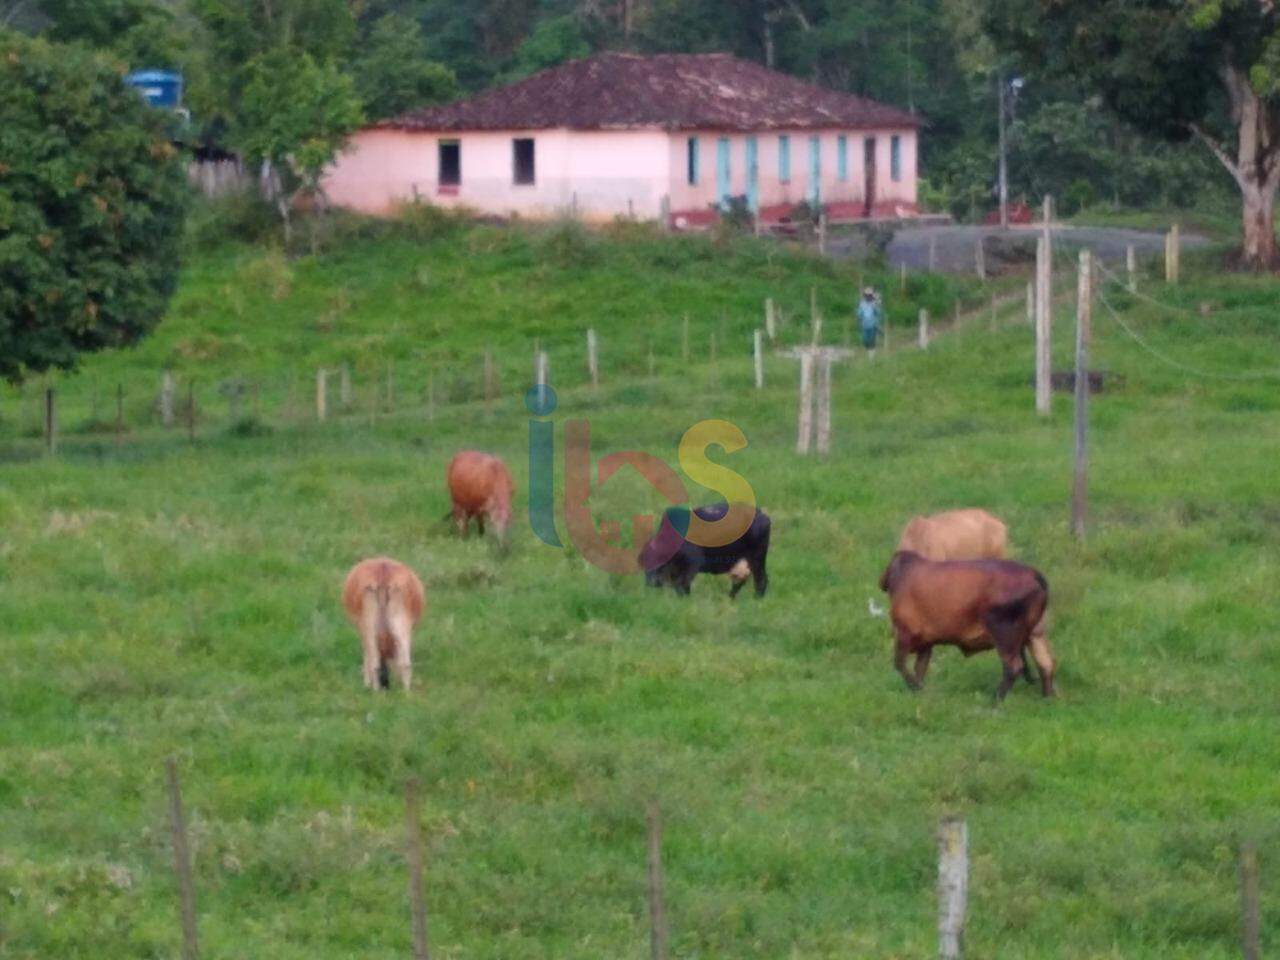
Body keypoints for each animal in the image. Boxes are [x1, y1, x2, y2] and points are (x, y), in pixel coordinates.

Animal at [340, 555, 424, 691]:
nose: (386, 683)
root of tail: (383, 572)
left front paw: (366, 684)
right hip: (401, 622)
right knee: (405, 662)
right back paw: (406, 693)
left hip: (368, 623)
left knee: (374, 662)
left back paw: (375, 691)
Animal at [640, 504, 768, 601]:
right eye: (646, 562)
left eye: (659, 560)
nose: (651, 583)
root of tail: (762, 515)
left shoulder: (691, 567)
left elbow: (683, 585)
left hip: (757, 560)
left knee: (761, 580)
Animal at [875, 552, 1054, 701]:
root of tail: (1034, 574)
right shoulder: (926, 643)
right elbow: (920, 669)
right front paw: (918, 692)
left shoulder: (904, 634)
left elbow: (899, 664)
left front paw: (914, 687)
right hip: (1035, 634)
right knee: (1046, 664)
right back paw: (1046, 699)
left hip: (1004, 635)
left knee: (1014, 667)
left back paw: (995, 701)